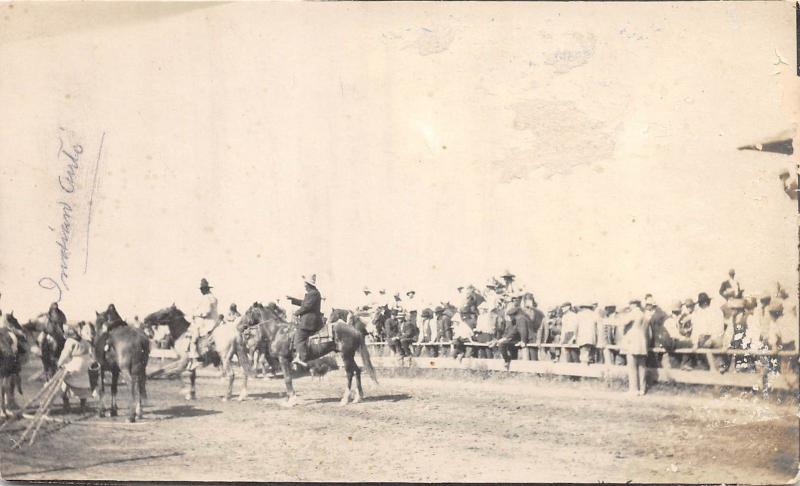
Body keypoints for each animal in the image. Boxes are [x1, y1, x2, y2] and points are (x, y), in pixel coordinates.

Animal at [239, 304, 376, 406]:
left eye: (247, 312)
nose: (240, 327)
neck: (278, 331)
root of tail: (355, 330)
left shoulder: (283, 359)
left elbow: (287, 379)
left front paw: (291, 400)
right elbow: (288, 379)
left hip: (346, 355)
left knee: (349, 373)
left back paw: (345, 399)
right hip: (350, 355)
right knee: (357, 371)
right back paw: (358, 397)